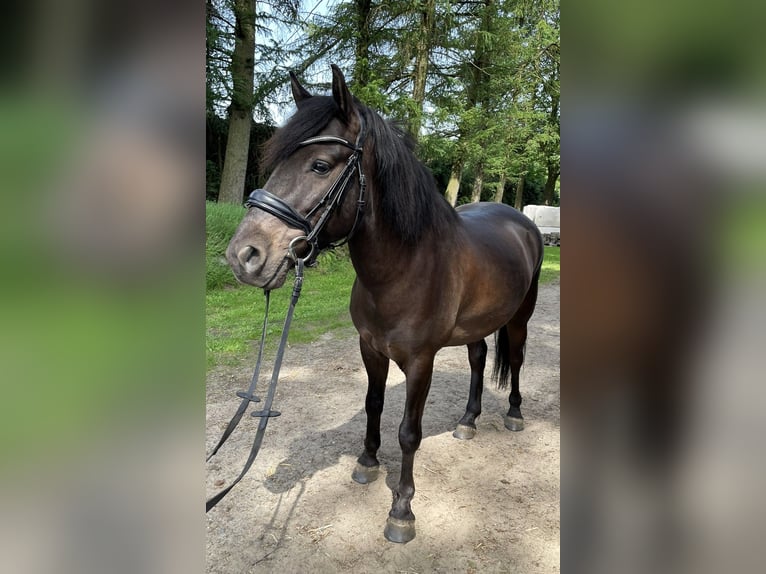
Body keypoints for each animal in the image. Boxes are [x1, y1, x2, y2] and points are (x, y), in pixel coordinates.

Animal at [226, 65, 544, 543]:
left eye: (320, 165)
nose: (244, 256)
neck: (403, 269)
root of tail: (522, 221)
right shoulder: (370, 348)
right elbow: (373, 405)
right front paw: (367, 463)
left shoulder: (420, 361)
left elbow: (409, 432)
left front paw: (402, 510)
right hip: (476, 325)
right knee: (478, 357)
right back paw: (467, 422)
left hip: (521, 316)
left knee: (517, 358)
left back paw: (514, 413)